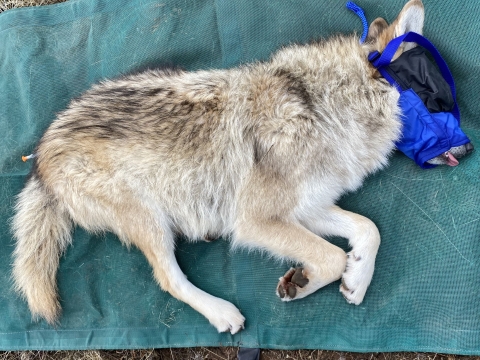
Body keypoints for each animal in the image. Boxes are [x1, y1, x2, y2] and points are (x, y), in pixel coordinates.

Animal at [10, 0, 468, 334]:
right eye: (439, 99)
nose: (468, 149)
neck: (323, 107)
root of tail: (42, 152)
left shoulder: (309, 207)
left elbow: (368, 230)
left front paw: (355, 280)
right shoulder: (255, 221)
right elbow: (333, 255)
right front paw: (310, 280)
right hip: (149, 220)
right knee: (170, 280)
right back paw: (222, 313)